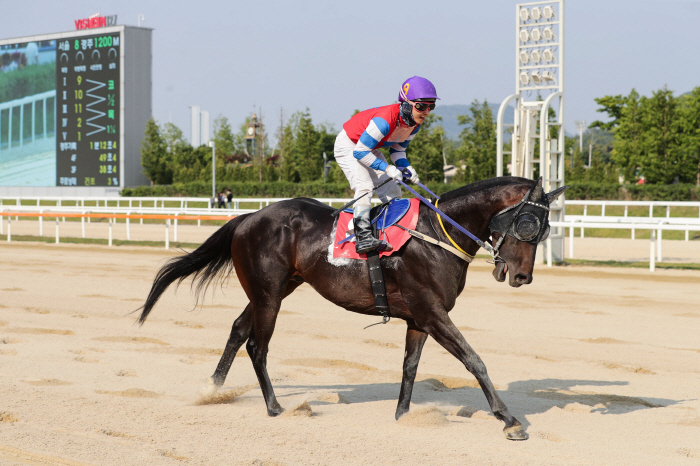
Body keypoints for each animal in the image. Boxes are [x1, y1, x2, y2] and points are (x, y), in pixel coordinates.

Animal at [139, 176, 568, 440]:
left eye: (546, 229)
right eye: (528, 223)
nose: (522, 276)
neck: (436, 233)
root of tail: (248, 217)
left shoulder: (419, 317)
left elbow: (410, 366)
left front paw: (404, 414)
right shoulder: (432, 312)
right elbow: (474, 360)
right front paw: (509, 420)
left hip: (274, 291)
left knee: (238, 329)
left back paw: (211, 390)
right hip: (269, 295)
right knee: (257, 345)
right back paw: (277, 407)